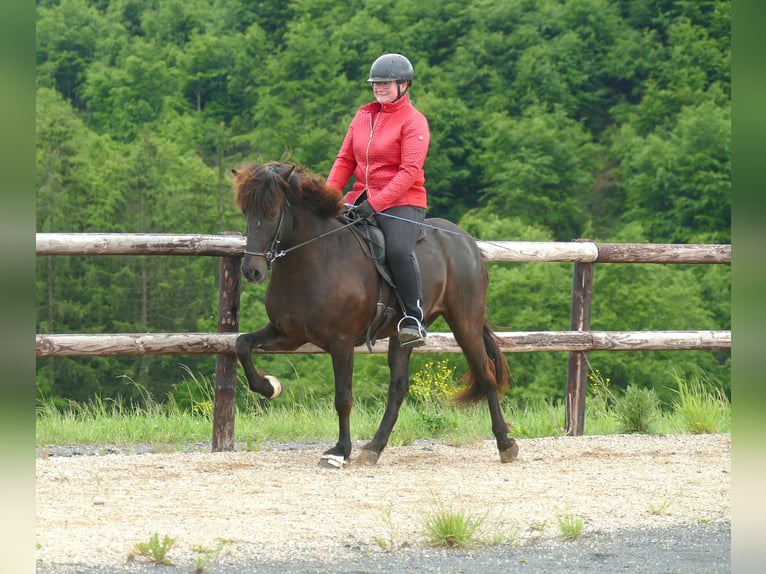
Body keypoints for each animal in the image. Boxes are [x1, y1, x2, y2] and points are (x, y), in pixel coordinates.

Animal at [231, 161, 519, 467]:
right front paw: (269, 386)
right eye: (246, 213)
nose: (252, 271)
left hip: (465, 323)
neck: (315, 258)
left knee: (486, 374)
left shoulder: (341, 341)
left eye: (273, 213)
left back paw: (505, 444)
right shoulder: (289, 334)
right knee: (398, 387)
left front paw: (339, 451)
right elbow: (242, 344)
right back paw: (373, 448)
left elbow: (343, 398)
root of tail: (466, 241)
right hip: (403, 335)